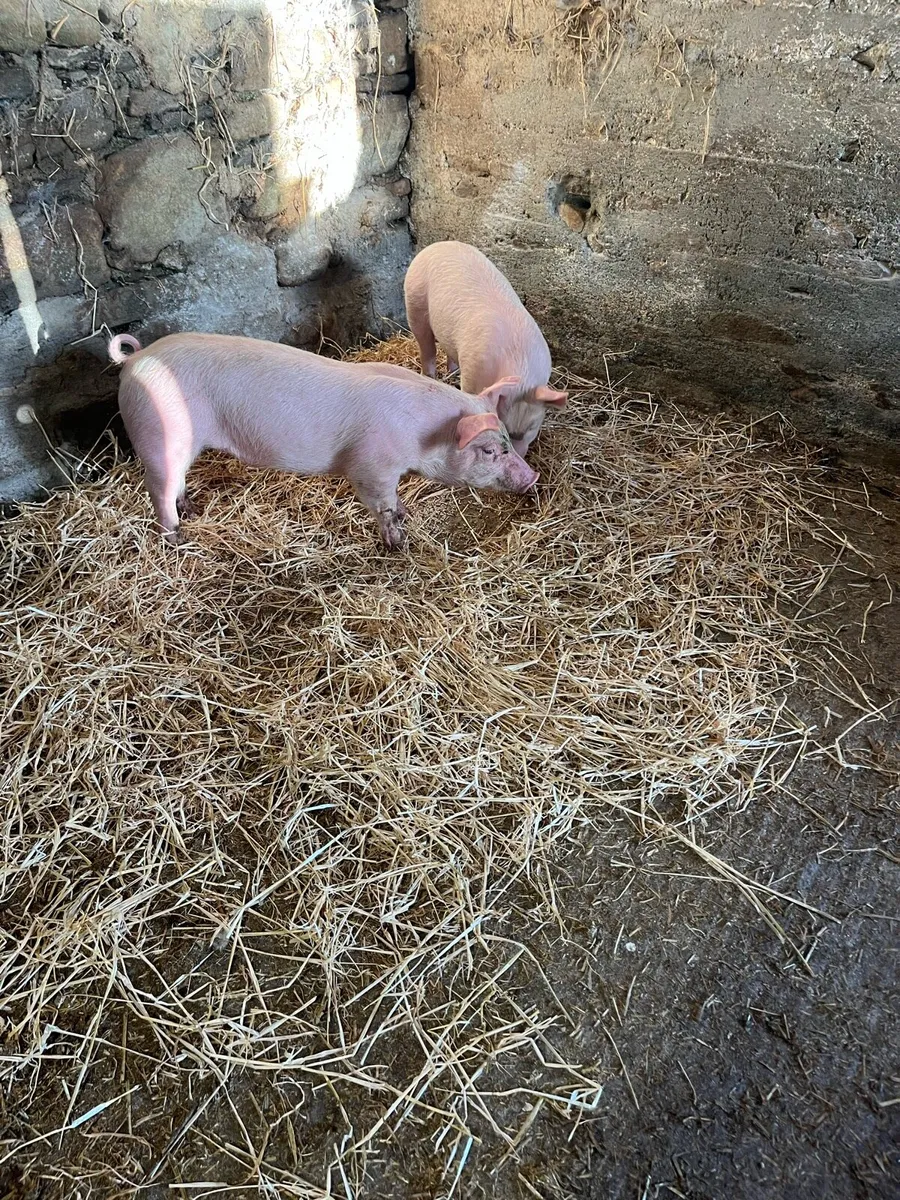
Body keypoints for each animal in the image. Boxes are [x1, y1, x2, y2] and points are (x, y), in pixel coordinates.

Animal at [107, 331, 538, 549]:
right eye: (489, 450)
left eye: (506, 440)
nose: (532, 477)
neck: (421, 433)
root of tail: (135, 360)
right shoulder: (370, 467)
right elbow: (381, 505)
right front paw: (398, 543)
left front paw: (406, 517)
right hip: (157, 435)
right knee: (159, 490)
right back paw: (175, 538)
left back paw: (192, 511)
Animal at [404, 240, 568, 458]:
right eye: (505, 428)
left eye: (531, 428)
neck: (520, 370)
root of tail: (436, 245)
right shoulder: (472, 374)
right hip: (415, 303)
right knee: (426, 347)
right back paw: (431, 376)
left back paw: (453, 371)